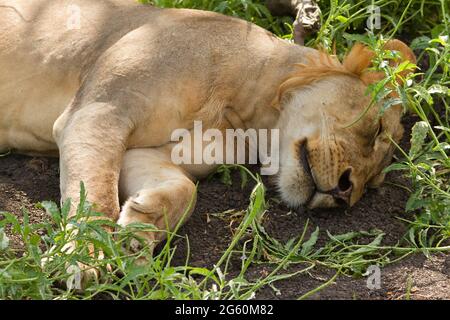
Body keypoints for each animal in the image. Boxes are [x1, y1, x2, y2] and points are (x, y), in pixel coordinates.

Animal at [0, 0, 414, 248]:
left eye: (373, 183)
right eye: (376, 130)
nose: (345, 192)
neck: (243, 116)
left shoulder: (145, 151)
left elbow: (185, 191)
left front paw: (141, 230)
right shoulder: (97, 112)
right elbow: (97, 199)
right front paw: (86, 258)